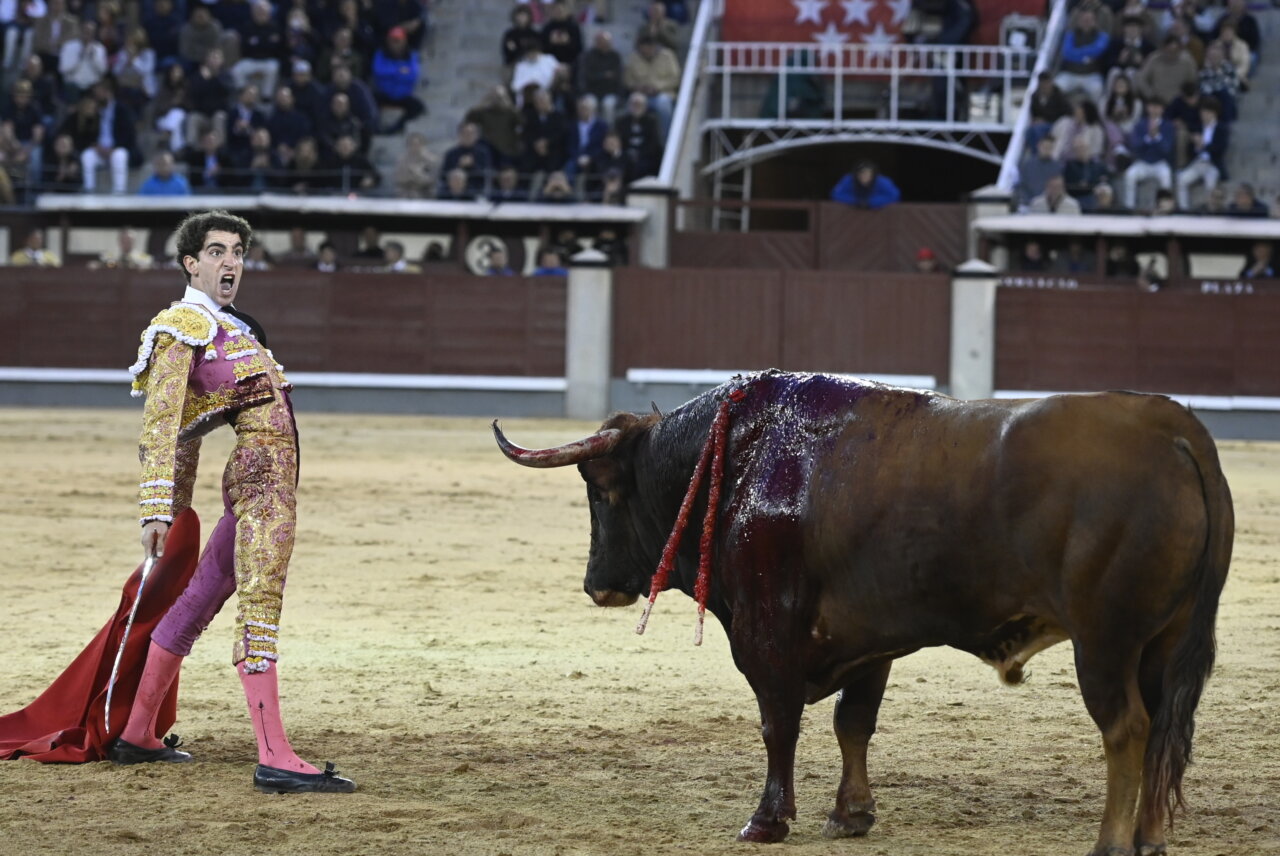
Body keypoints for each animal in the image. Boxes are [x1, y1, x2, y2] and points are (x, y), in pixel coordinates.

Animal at [492, 370, 1232, 856]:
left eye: (599, 491)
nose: (596, 585)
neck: (742, 461)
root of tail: (1174, 427)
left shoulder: (767, 632)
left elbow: (779, 724)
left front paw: (767, 820)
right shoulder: (872, 640)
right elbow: (854, 723)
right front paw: (852, 814)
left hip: (1104, 643)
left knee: (1127, 729)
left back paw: (1112, 842)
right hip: (1163, 643)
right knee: (1164, 728)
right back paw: (1148, 839)